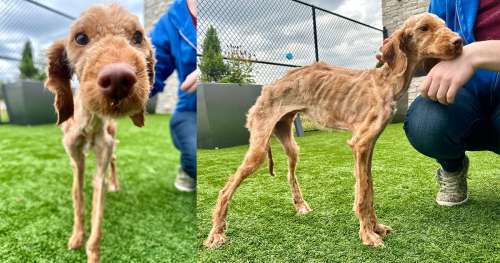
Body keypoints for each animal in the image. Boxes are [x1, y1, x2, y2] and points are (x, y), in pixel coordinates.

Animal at [45, 4, 154, 263]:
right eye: (80, 37)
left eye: (138, 36)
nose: (118, 79)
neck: (90, 124)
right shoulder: (75, 159)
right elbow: (78, 198)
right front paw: (76, 236)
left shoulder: (103, 152)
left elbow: (98, 206)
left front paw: (92, 252)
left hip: (111, 141)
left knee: (113, 161)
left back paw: (114, 184)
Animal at [205, 13, 462, 250]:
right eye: (424, 28)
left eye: (443, 24)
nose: (459, 41)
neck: (386, 82)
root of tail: (269, 86)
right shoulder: (360, 143)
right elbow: (363, 194)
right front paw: (368, 235)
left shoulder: (368, 146)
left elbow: (369, 189)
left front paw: (376, 227)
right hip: (258, 148)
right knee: (225, 190)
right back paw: (216, 234)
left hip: (291, 145)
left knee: (290, 175)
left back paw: (300, 206)